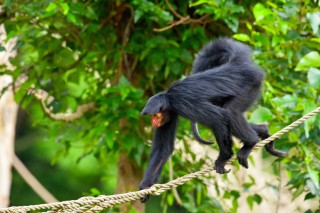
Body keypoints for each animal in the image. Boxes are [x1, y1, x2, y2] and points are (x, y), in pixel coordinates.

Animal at [139, 38, 284, 203]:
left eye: (155, 116)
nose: (153, 122)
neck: (169, 97)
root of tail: (235, 65)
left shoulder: (182, 102)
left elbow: (219, 116)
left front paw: (224, 157)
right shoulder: (170, 114)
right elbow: (163, 150)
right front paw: (145, 187)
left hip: (251, 86)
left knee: (229, 112)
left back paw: (250, 143)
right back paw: (263, 131)